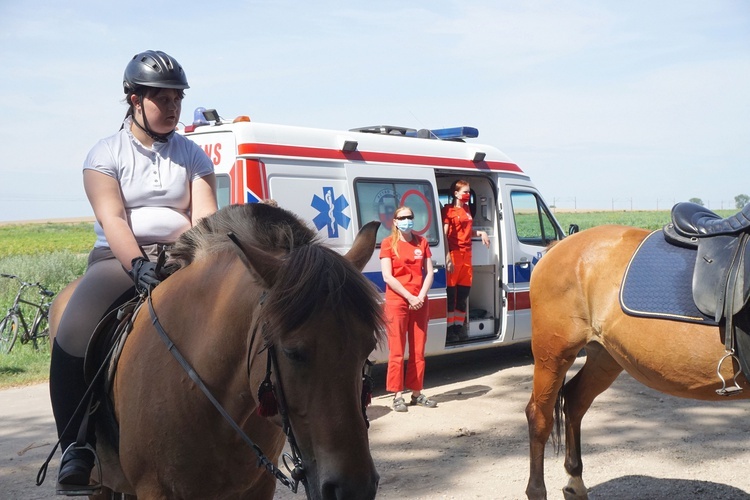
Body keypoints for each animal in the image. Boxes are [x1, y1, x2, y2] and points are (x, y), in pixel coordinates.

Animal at [528, 225, 750, 498]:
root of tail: (558, 246)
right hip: (552, 355)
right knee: (540, 418)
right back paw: (537, 490)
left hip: (604, 357)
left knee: (574, 400)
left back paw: (575, 483)